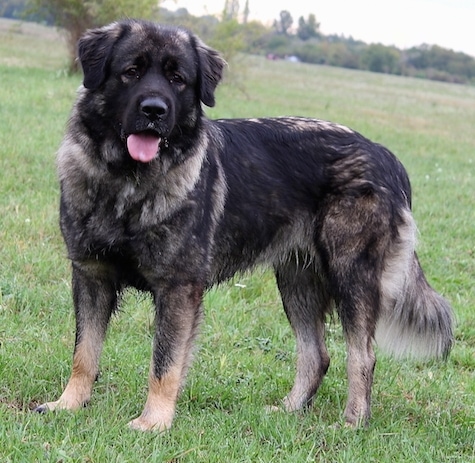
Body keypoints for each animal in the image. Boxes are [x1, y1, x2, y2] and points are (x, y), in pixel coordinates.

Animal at [35, 18, 456, 432]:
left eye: (178, 79)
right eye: (131, 72)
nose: (154, 110)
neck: (128, 183)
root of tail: (388, 158)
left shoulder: (178, 289)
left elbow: (165, 363)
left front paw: (153, 422)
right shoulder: (91, 277)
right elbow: (84, 352)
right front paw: (69, 404)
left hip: (351, 278)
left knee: (362, 355)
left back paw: (352, 423)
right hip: (297, 282)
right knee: (317, 354)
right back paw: (289, 409)